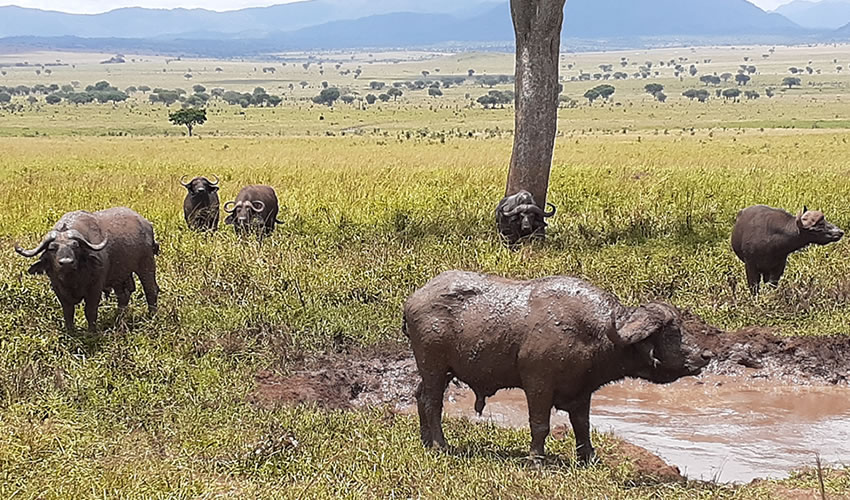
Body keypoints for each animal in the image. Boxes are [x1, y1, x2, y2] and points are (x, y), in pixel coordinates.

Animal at [14, 207, 161, 332]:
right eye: (52, 248)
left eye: (75, 246)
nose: (66, 262)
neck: (72, 280)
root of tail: (147, 225)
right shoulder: (58, 289)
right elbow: (68, 311)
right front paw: (70, 331)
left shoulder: (95, 288)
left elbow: (90, 311)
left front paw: (92, 332)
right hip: (120, 275)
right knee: (124, 295)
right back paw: (118, 320)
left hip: (146, 264)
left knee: (150, 290)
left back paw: (152, 316)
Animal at [404, 272, 708, 462]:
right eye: (670, 332)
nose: (704, 355)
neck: (592, 333)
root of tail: (412, 301)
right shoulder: (538, 383)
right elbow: (540, 424)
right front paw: (536, 459)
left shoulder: (582, 390)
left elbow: (582, 424)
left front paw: (589, 457)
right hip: (434, 366)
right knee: (432, 402)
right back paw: (440, 445)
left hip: (435, 370)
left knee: (419, 395)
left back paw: (424, 440)